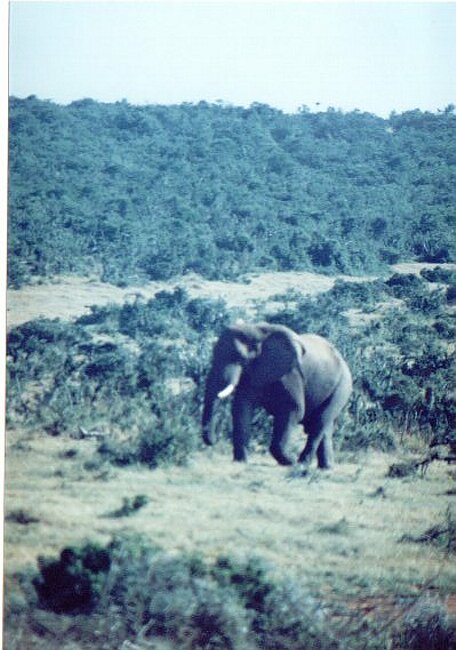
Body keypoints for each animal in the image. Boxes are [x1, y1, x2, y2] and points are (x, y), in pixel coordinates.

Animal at [202, 322, 352, 469]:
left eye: (239, 358)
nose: (214, 441)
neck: (256, 331)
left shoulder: (290, 374)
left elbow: (294, 410)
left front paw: (290, 461)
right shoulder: (252, 373)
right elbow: (242, 409)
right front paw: (240, 462)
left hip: (342, 386)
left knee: (320, 422)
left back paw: (302, 464)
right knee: (324, 426)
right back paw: (325, 467)